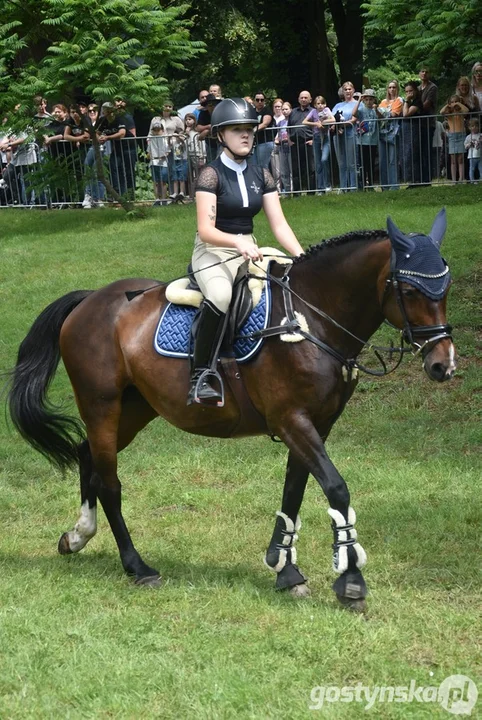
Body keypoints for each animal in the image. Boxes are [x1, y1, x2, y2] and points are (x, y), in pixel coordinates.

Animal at [6, 211, 456, 612]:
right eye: (410, 291)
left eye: (446, 286)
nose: (443, 365)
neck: (310, 318)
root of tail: (90, 300)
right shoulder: (292, 421)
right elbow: (336, 489)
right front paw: (350, 581)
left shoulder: (315, 425)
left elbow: (294, 492)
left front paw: (284, 570)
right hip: (102, 405)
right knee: (110, 482)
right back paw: (138, 567)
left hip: (135, 409)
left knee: (87, 456)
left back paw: (77, 536)